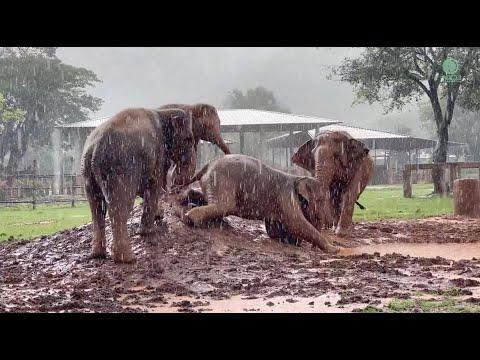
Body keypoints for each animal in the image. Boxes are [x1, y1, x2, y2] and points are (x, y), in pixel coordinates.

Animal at [80, 106, 195, 262]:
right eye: (189, 139)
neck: (163, 112)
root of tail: (95, 148)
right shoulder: (157, 153)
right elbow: (154, 185)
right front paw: (149, 231)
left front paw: (158, 216)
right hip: (120, 167)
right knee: (121, 205)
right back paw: (127, 258)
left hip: (87, 172)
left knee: (96, 207)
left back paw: (97, 254)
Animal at [180, 154, 342, 253]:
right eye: (321, 200)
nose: (311, 249)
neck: (298, 178)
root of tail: (207, 165)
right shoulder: (286, 197)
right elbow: (296, 223)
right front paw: (334, 250)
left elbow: (274, 229)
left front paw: (289, 240)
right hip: (222, 181)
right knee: (224, 205)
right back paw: (190, 219)